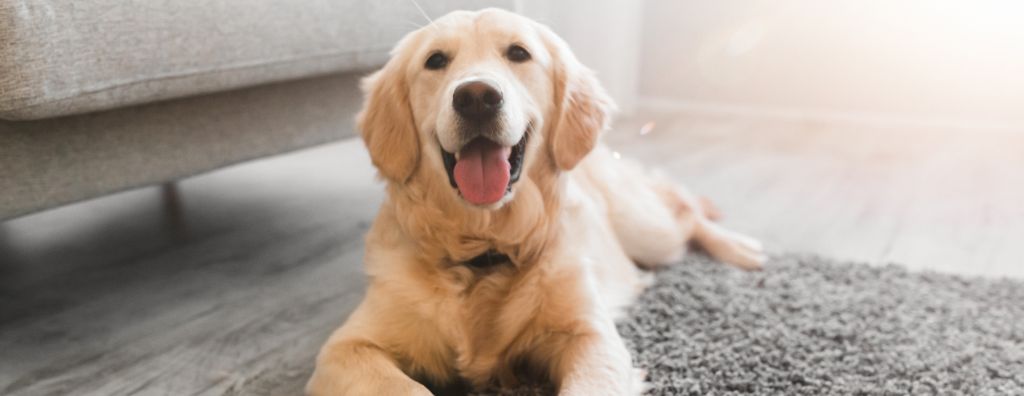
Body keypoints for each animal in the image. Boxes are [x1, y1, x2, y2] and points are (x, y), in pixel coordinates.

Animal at [307, 9, 765, 396]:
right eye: (435, 60)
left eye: (518, 53)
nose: (476, 96)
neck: (485, 249)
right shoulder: (347, 347)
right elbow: (401, 385)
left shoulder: (590, 336)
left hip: (649, 230)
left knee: (685, 211)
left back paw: (742, 248)